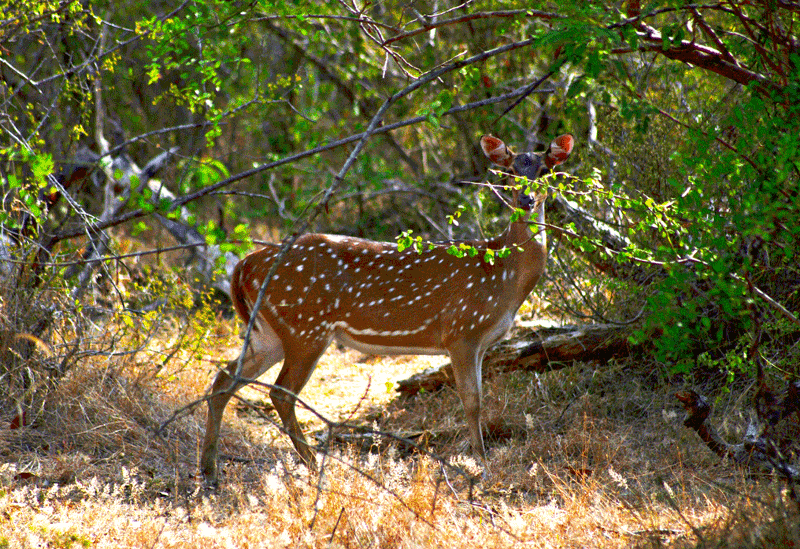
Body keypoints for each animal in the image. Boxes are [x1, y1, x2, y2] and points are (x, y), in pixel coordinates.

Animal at [202, 134, 576, 484]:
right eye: (510, 172)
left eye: (546, 170)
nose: (526, 200)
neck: (503, 274)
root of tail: (244, 265)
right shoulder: (461, 331)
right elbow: (472, 400)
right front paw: (480, 464)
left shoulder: (481, 342)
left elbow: (479, 398)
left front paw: (480, 460)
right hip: (305, 326)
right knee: (280, 392)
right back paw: (313, 464)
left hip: (270, 333)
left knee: (224, 378)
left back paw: (210, 469)